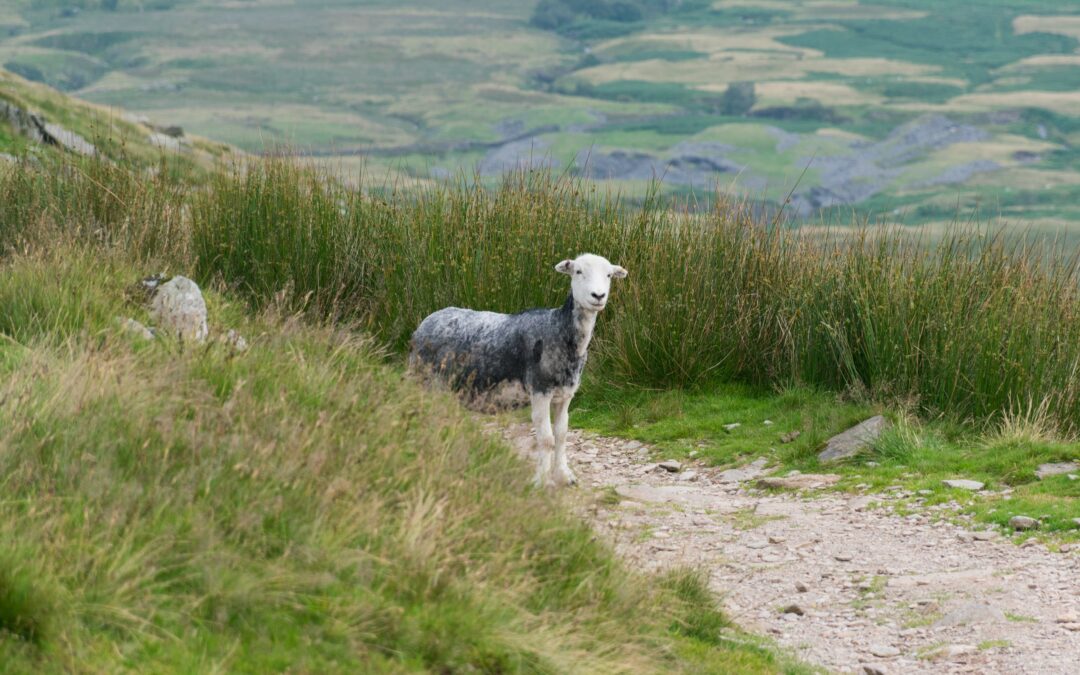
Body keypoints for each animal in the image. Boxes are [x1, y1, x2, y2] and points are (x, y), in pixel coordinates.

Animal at [409, 253, 628, 487]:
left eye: (609, 275)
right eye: (578, 271)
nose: (598, 296)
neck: (559, 330)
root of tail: (424, 323)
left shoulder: (565, 394)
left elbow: (561, 435)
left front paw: (564, 476)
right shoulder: (540, 389)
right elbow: (546, 439)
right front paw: (541, 481)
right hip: (424, 379)